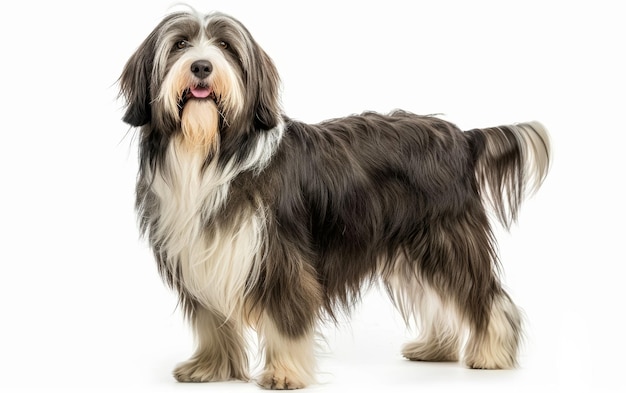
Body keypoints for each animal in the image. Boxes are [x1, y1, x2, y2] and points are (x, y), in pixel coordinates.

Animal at [119, 7, 548, 388]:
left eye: (226, 46)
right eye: (180, 44)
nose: (202, 67)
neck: (210, 154)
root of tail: (462, 137)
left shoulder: (280, 257)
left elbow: (287, 317)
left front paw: (284, 374)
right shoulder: (200, 254)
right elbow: (211, 323)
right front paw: (211, 368)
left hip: (447, 238)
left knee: (486, 297)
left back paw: (492, 354)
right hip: (414, 246)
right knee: (438, 297)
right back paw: (436, 349)